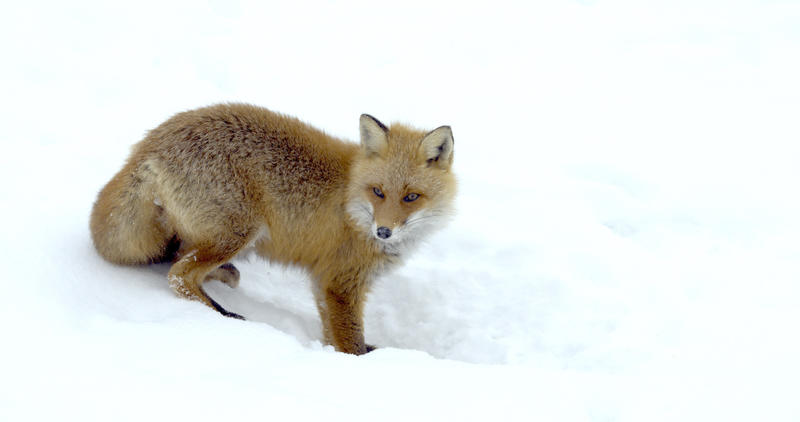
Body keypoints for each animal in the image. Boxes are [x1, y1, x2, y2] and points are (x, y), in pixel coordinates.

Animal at [89, 104, 456, 354]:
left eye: (411, 197)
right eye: (378, 191)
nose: (383, 232)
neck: (351, 195)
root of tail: (149, 144)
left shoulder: (324, 280)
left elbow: (332, 333)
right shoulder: (341, 283)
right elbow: (350, 342)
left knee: (177, 257)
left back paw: (222, 277)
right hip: (239, 231)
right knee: (179, 274)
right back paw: (222, 314)